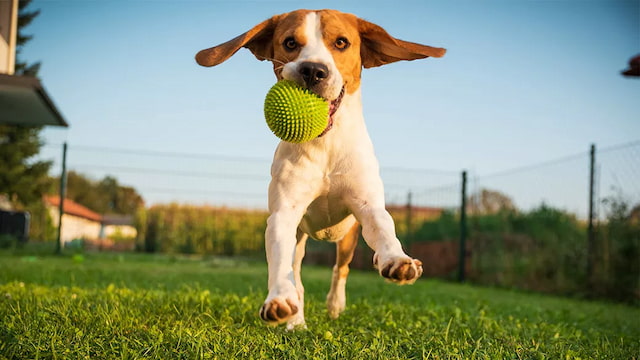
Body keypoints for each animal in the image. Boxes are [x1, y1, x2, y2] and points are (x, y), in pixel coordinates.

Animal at [195, 9, 444, 330]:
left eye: (341, 42)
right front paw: (279, 300)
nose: (313, 70)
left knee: (341, 269)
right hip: (300, 239)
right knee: (297, 275)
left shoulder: (367, 206)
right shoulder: (284, 214)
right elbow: (281, 264)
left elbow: (384, 229)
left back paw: (337, 303)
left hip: (348, 237)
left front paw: (397, 260)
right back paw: (296, 320)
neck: (325, 145)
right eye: (290, 42)